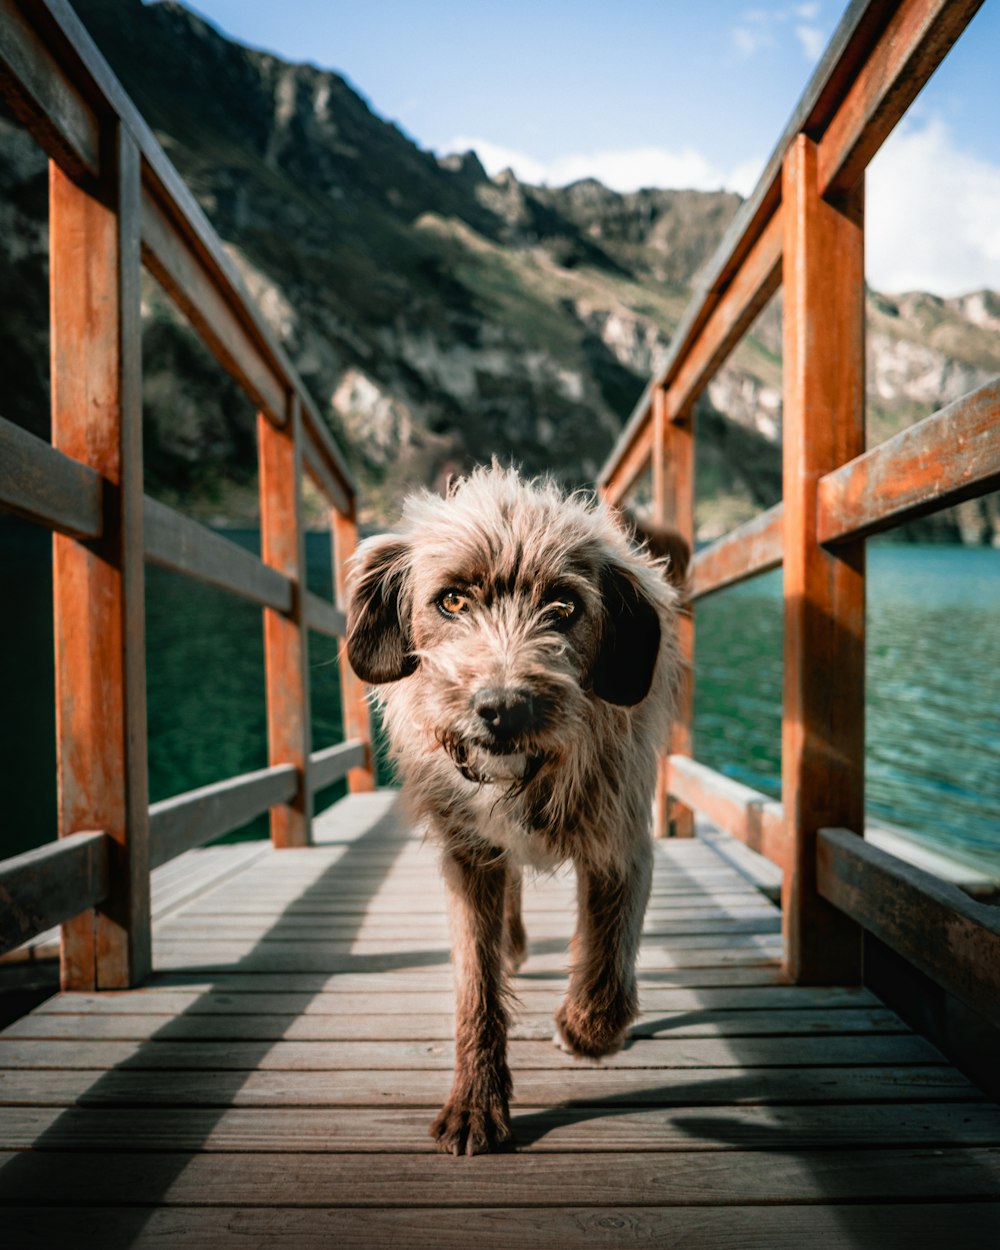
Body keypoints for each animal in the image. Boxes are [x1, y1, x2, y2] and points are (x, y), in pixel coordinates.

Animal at [347, 465, 685, 1155]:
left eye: (565, 607)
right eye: (452, 601)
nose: (504, 709)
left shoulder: (620, 844)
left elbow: (606, 970)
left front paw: (582, 1029)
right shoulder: (469, 856)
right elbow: (476, 986)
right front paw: (476, 1102)